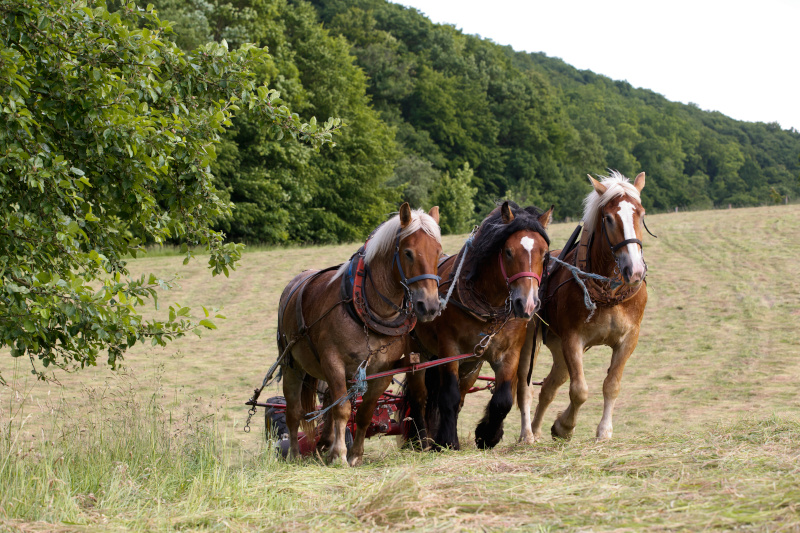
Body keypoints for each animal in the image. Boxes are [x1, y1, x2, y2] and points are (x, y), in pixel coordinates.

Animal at [280, 202, 444, 464]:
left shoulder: (383, 370)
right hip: (292, 365)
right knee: (294, 411)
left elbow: (364, 412)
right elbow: (343, 409)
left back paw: (325, 442)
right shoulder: (333, 362)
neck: (372, 313)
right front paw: (339, 454)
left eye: (438, 252)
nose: (428, 306)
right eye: (408, 253)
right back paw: (295, 453)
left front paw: (354, 454)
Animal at [404, 202, 552, 450]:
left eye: (544, 253)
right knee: (420, 397)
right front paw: (448, 441)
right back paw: (421, 439)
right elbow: (449, 396)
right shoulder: (449, 349)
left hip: (470, 365)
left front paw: (487, 435)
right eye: (508, 252)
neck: (490, 307)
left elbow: (502, 400)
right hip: (417, 354)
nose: (528, 304)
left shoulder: (509, 353)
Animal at [520, 170, 648, 440]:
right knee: (524, 386)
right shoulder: (573, 339)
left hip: (558, 350)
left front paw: (604, 431)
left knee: (549, 386)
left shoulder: (629, 338)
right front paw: (564, 426)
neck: (609, 292)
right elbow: (579, 390)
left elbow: (612, 385)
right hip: (528, 340)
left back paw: (536, 429)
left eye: (641, 215)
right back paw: (526, 435)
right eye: (608, 218)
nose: (635, 271)